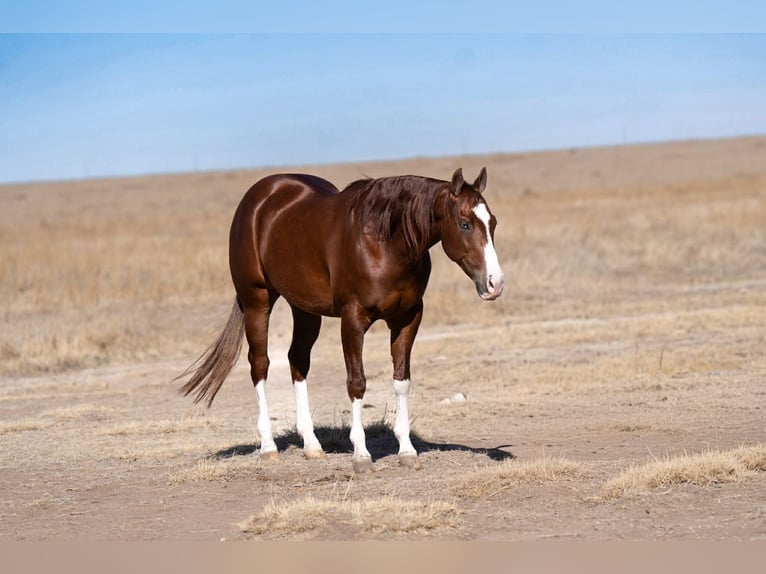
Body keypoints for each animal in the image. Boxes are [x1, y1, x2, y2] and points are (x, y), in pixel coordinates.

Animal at [179, 167, 504, 473]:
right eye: (464, 224)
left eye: (493, 223)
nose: (495, 284)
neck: (386, 244)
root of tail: (259, 197)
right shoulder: (353, 319)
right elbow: (357, 383)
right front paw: (361, 455)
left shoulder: (408, 318)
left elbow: (401, 381)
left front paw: (407, 450)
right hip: (257, 300)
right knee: (260, 364)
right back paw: (268, 447)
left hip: (305, 309)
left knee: (297, 360)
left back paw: (311, 445)